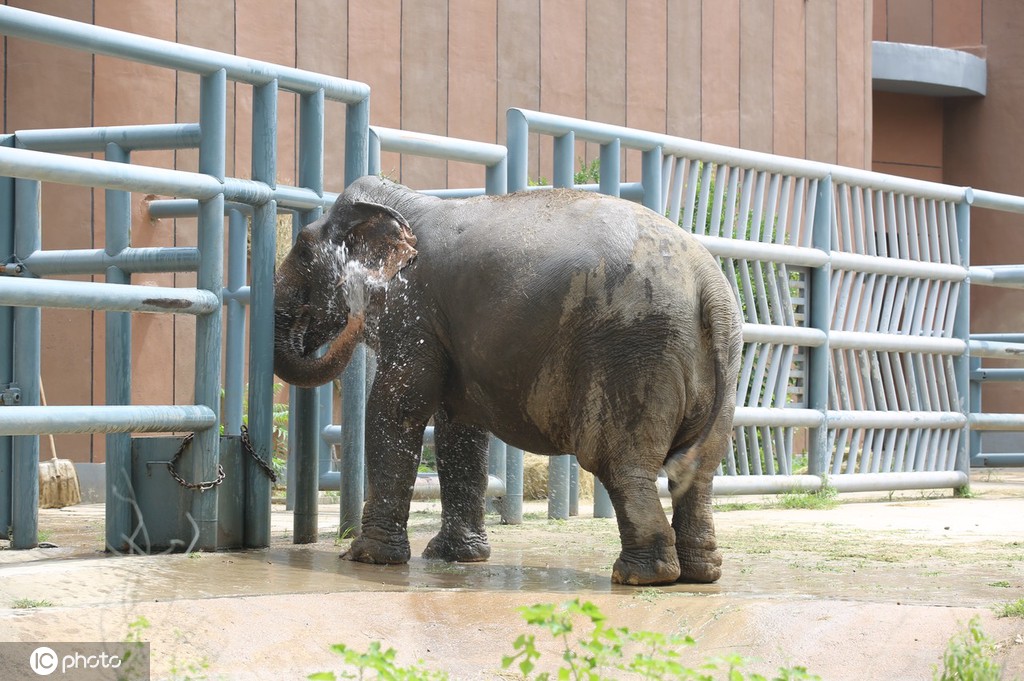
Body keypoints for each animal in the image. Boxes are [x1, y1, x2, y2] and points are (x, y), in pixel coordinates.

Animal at [273, 175, 743, 585]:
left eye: (302, 250)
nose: (348, 312)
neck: (402, 202)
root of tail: (708, 286)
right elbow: (458, 428)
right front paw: (455, 557)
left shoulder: (415, 308)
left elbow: (397, 408)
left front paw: (366, 558)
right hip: (718, 359)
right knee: (698, 468)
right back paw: (699, 573)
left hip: (633, 351)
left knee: (618, 462)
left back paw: (639, 576)